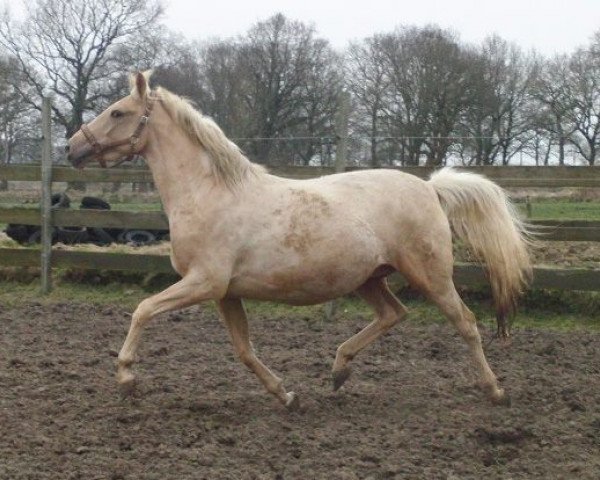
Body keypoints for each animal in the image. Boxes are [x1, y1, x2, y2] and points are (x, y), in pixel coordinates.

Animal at [68, 70, 532, 408]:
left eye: (117, 112)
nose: (72, 148)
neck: (210, 193)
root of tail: (431, 188)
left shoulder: (204, 283)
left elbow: (143, 310)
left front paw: (127, 377)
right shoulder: (225, 292)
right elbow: (244, 349)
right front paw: (285, 394)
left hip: (429, 275)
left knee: (466, 323)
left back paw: (495, 390)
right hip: (369, 278)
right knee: (393, 314)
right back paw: (339, 371)